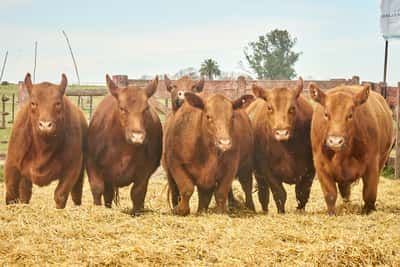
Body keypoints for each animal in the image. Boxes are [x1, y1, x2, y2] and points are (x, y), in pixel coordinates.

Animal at [4, 74, 87, 209]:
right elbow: (11, 195)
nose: (45, 125)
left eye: (58, 103)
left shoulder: (72, 167)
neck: (42, 148)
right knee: (25, 191)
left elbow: (60, 195)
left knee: (76, 192)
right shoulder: (12, 165)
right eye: (33, 103)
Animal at [86, 75, 162, 216]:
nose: (137, 136)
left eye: (146, 109)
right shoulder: (92, 165)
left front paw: (136, 213)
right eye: (122, 108)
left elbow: (137, 193)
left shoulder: (144, 172)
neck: (123, 150)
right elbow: (97, 188)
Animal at [250, 77, 316, 214]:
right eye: (269, 108)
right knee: (263, 194)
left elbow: (302, 194)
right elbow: (280, 195)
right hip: (259, 175)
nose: (282, 133)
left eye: (292, 108)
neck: (288, 150)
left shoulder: (310, 171)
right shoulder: (268, 171)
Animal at [310, 84, 394, 216]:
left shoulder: (372, 165)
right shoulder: (320, 165)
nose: (335, 141)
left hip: (383, 159)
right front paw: (331, 213)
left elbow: (369, 193)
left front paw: (368, 211)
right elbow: (330, 194)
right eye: (326, 114)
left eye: (350, 115)